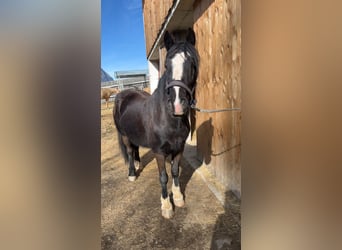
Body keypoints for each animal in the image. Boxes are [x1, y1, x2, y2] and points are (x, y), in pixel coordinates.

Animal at [113, 28, 199, 218]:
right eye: (166, 66)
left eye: (193, 64)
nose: (177, 105)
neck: (168, 119)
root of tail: (123, 94)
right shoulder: (159, 152)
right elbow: (163, 177)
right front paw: (166, 205)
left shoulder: (179, 148)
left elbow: (175, 171)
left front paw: (179, 197)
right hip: (124, 135)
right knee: (129, 151)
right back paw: (132, 173)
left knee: (135, 149)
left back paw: (138, 164)